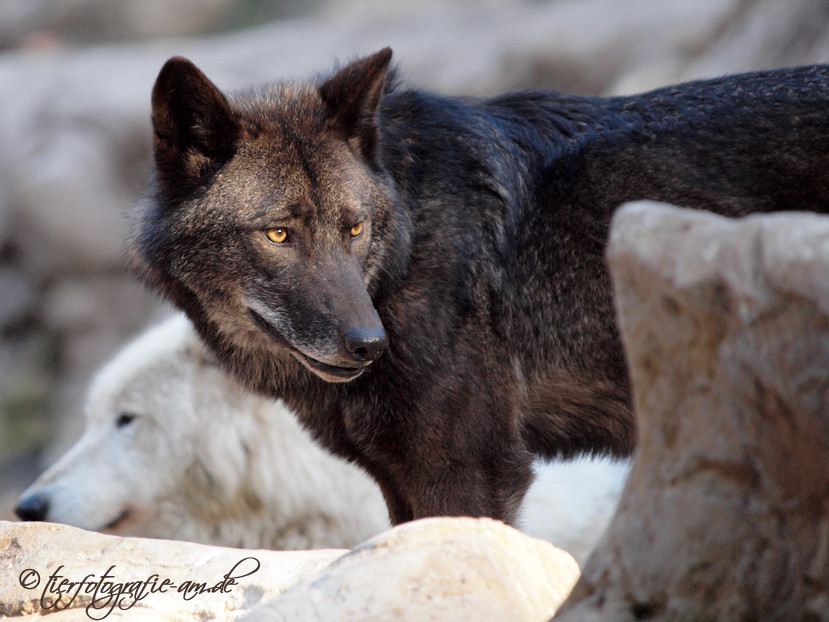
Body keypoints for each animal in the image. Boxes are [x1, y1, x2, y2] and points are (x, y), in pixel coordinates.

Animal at [129, 50, 828, 528]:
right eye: (278, 234)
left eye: (353, 227)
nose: (369, 345)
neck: (406, 259)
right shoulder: (402, 483)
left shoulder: (470, 473)